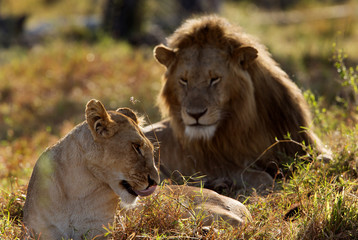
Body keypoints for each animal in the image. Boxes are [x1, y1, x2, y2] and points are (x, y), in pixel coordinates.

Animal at [22, 98, 252, 240]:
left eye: (149, 149)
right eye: (136, 147)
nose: (156, 182)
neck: (79, 188)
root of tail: (244, 207)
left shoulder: (99, 231)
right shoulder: (41, 232)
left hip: (203, 210)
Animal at [144, 15, 328, 193]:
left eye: (214, 79)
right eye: (184, 80)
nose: (195, 114)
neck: (246, 123)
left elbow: (324, 159)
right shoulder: (216, 165)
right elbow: (262, 177)